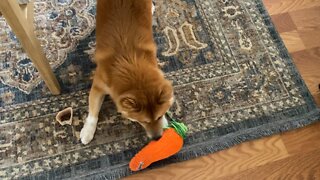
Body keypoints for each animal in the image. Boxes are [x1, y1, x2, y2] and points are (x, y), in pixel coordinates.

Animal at [81, 0, 174, 144]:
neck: (129, 60)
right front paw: (87, 131)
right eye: (143, 121)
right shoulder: (98, 86)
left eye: (159, 116)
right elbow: (93, 111)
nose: (158, 138)